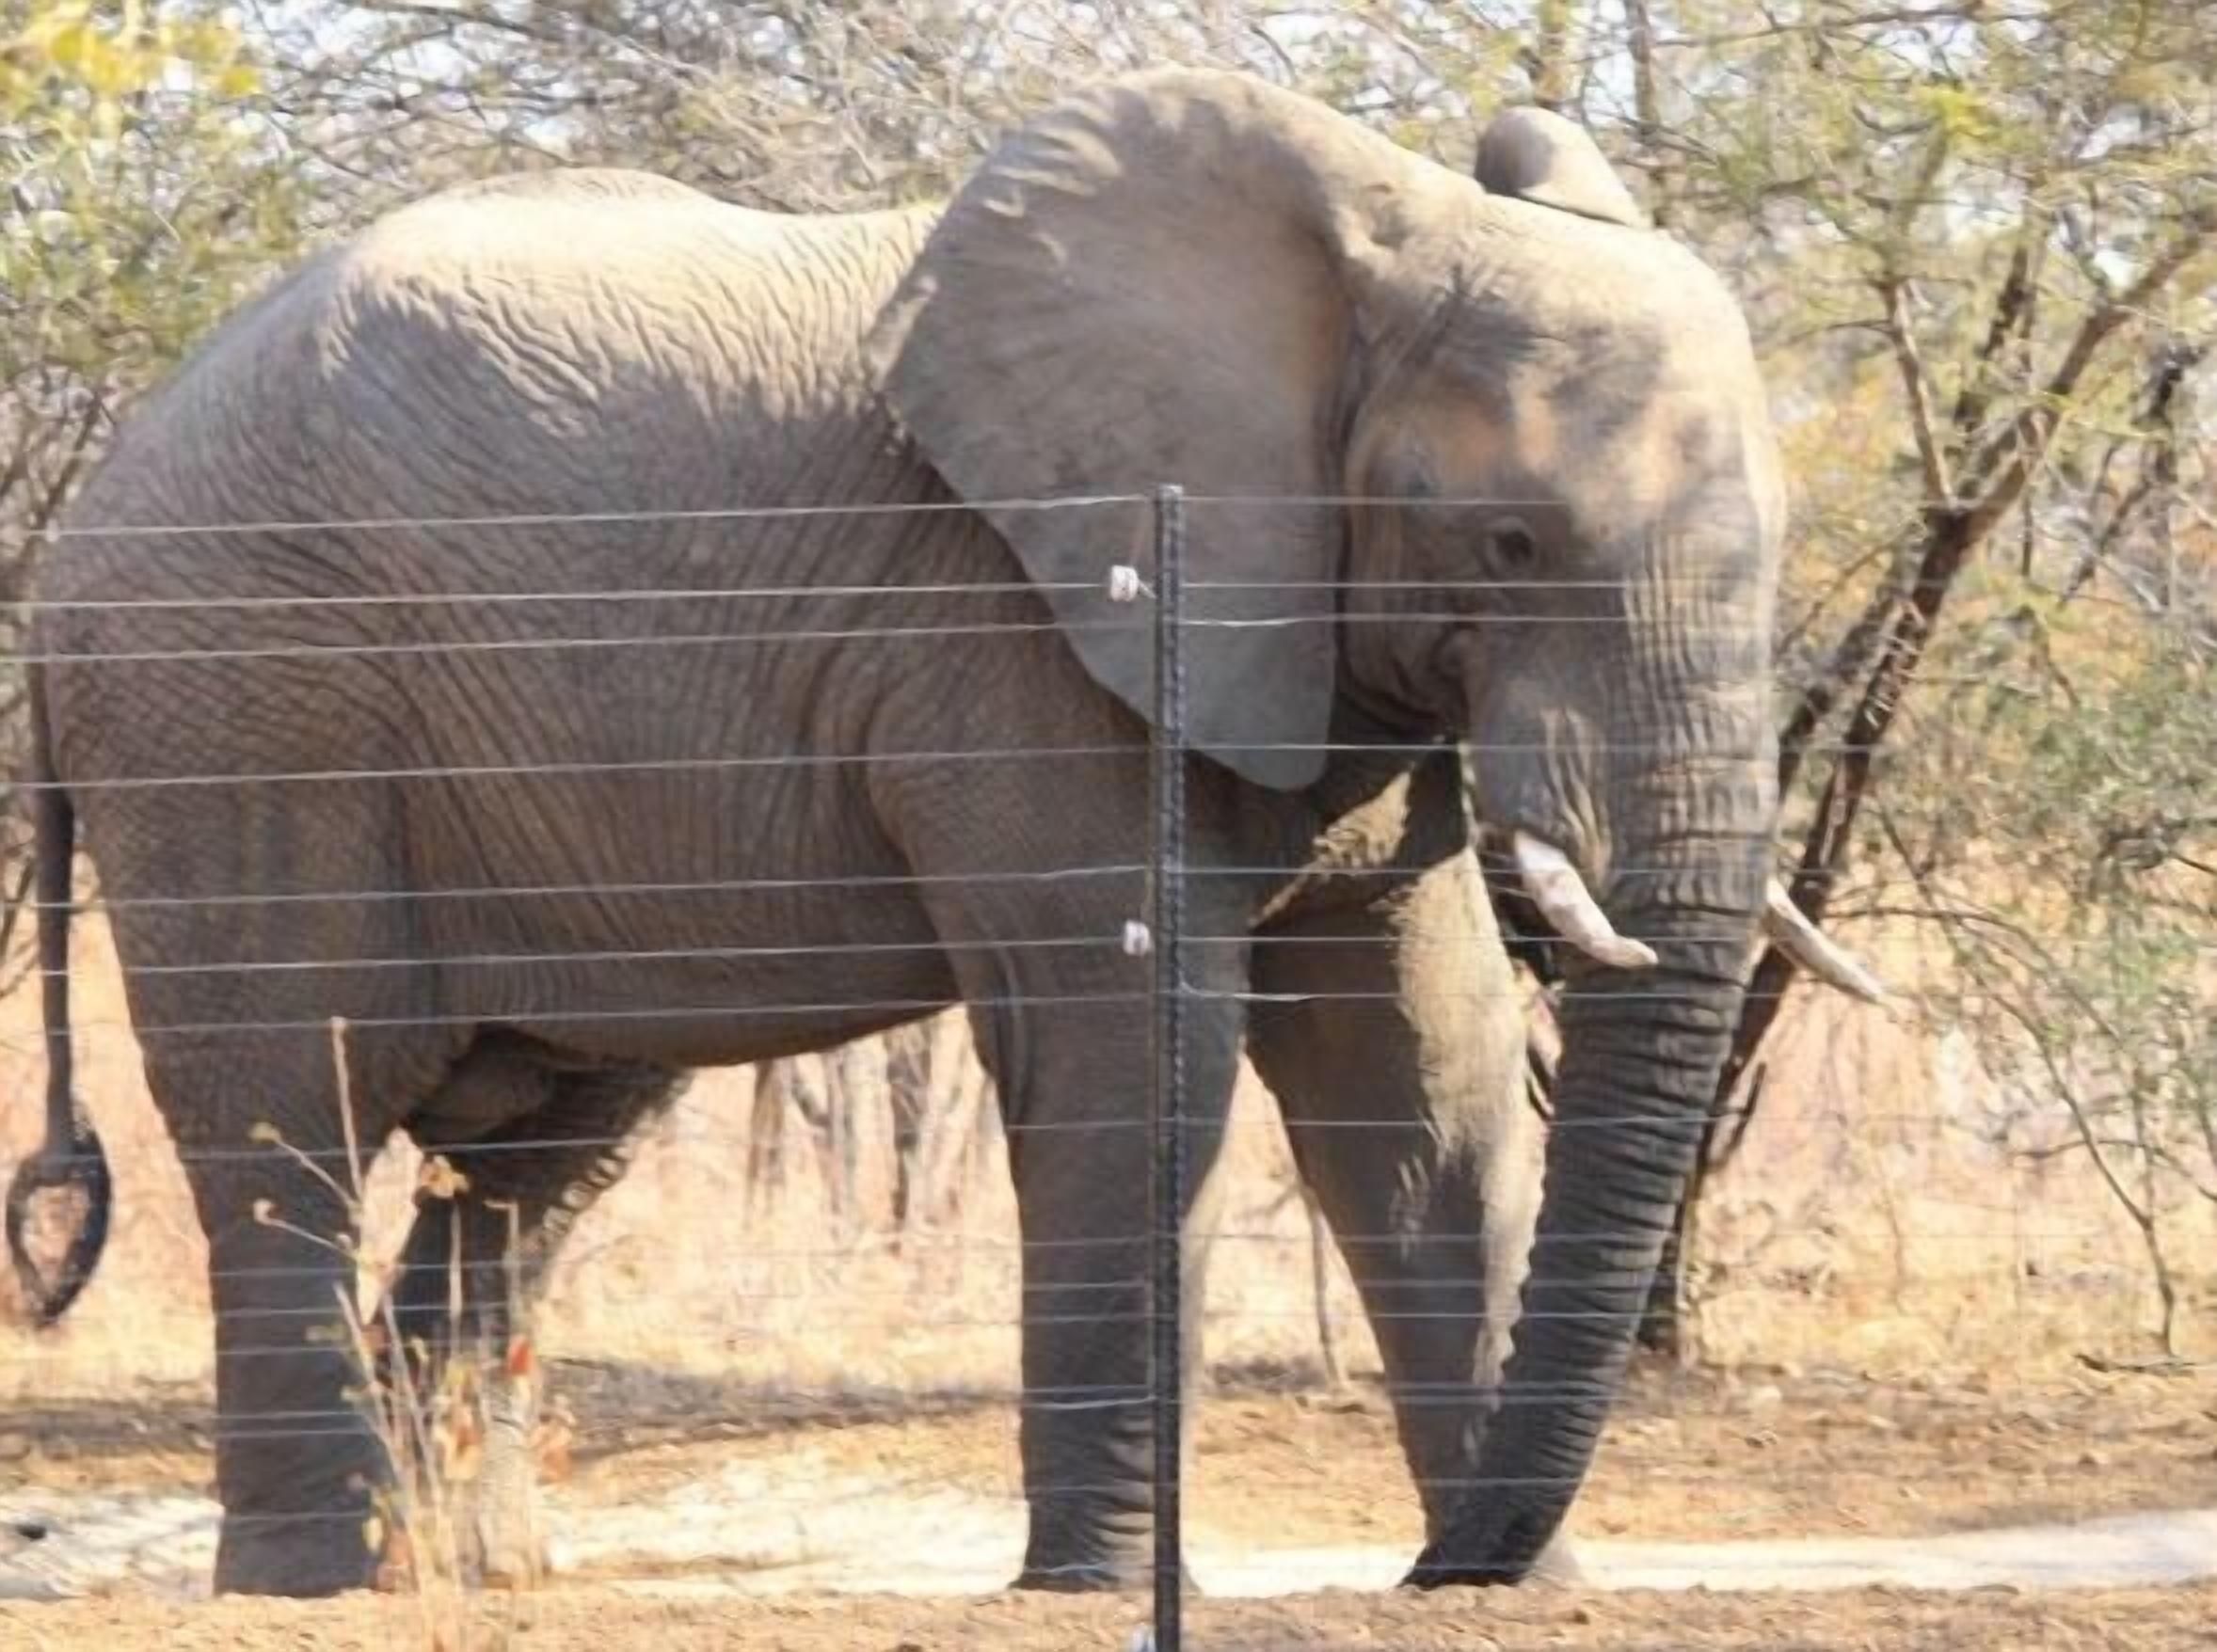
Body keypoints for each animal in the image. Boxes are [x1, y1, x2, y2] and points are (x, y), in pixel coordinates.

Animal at [6, 70, 1879, 1596]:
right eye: (1508, 544)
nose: (1450, 1565)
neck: (1354, 252)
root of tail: (77, 539)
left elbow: (1421, 1066)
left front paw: (1523, 1587)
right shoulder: (1021, 633)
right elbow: (1136, 1045)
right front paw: (1110, 1588)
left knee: (534, 1157)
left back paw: (454, 1577)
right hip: (242, 716)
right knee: (291, 1120)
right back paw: (311, 1585)